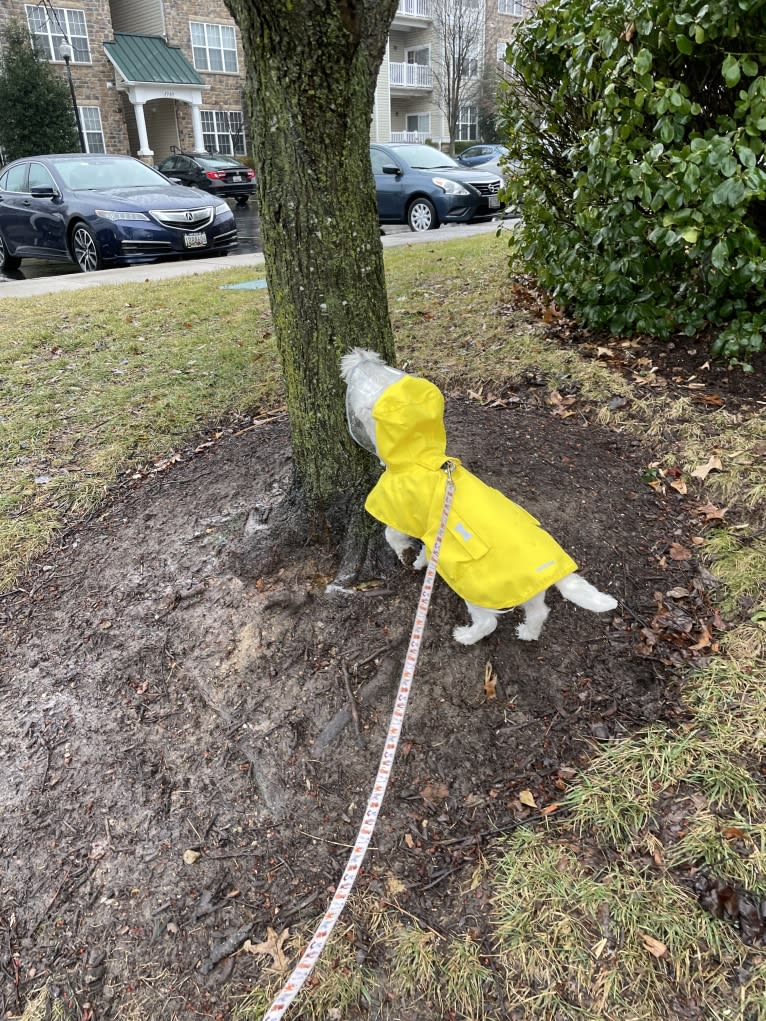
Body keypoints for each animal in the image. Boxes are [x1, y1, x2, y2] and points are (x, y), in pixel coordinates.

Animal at [341, 347, 616, 641]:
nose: (357, 356)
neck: (422, 456)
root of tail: (551, 570)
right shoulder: (432, 535)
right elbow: (426, 550)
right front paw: (420, 563)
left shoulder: (400, 511)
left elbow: (391, 535)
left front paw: (406, 556)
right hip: (528, 592)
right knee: (539, 612)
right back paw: (527, 633)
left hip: (477, 589)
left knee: (488, 622)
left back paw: (466, 636)